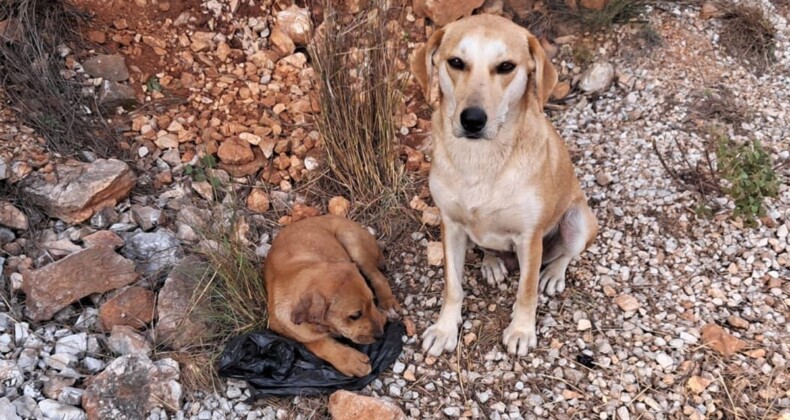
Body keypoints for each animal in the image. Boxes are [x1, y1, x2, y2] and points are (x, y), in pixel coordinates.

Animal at [266, 215, 402, 376]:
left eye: (372, 301)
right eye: (355, 315)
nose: (381, 335)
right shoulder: (282, 329)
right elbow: (315, 342)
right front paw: (352, 361)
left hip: (352, 242)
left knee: (377, 276)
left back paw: (388, 303)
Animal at [414, 15, 600, 358]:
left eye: (506, 66)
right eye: (456, 62)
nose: (473, 120)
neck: (481, 159)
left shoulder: (529, 237)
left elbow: (526, 291)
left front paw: (521, 331)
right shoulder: (451, 226)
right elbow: (452, 286)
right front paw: (445, 328)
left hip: (579, 220)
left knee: (566, 254)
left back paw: (552, 275)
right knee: (488, 247)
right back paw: (492, 263)